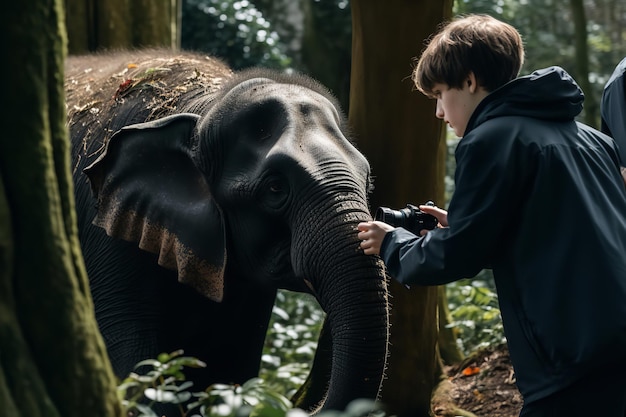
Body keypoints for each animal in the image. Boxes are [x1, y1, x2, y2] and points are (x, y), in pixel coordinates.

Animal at [67, 49, 390, 412]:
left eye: (368, 181)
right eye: (275, 189)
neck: (203, 109)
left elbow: (234, 364)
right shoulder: (108, 237)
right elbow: (135, 361)